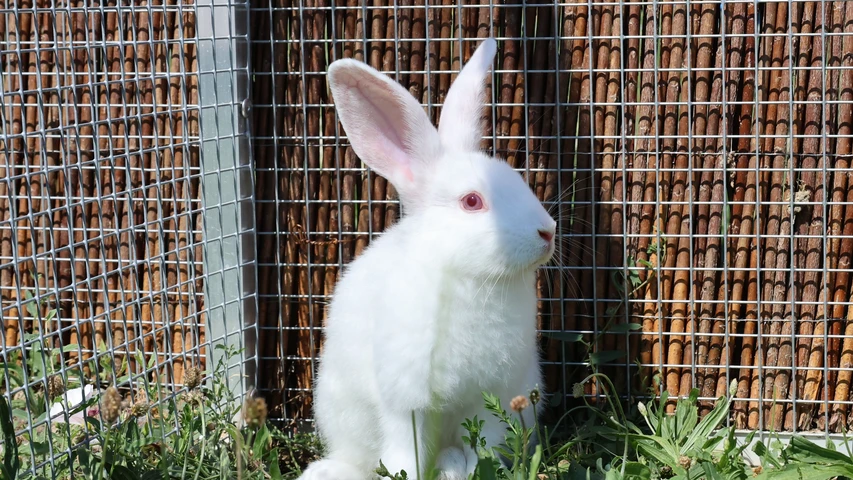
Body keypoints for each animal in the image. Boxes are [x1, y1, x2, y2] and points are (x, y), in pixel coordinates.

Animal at [297, 37, 557, 480]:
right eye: (472, 201)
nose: (548, 232)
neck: (468, 276)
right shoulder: (407, 400)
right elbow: (406, 451)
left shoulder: (493, 396)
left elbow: (485, 442)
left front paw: (477, 467)